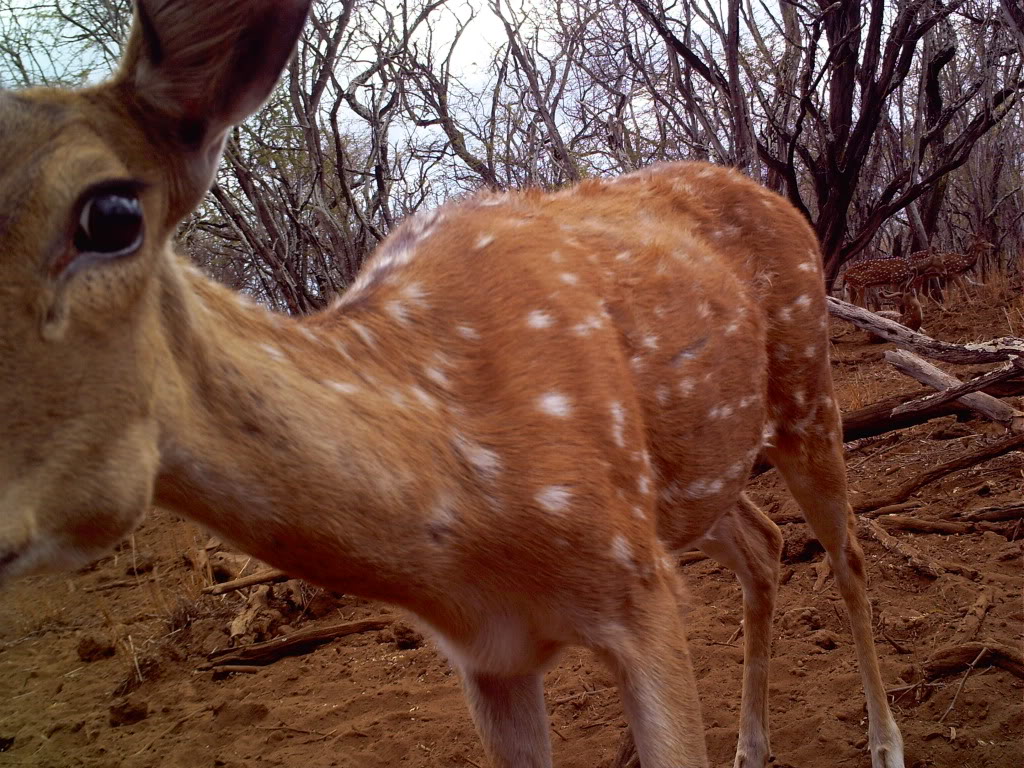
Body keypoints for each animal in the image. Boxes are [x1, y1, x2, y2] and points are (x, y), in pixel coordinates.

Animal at [0, 1, 909, 768]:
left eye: (112, 213)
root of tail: (784, 201)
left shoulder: (638, 592)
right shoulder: (491, 660)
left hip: (806, 383)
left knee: (849, 552)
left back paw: (883, 742)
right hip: (694, 486)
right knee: (764, 541)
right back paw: (753, 748)